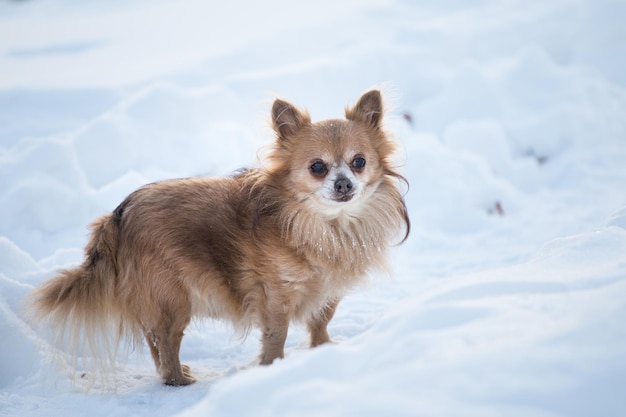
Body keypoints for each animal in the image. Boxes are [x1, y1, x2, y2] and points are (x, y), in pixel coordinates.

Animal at [28, 89, 410, 386]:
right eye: (318, 167)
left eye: (359, 162)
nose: (343, 183)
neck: (328, 227)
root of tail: (118, 215)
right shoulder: (276, 296)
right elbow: (277, 335)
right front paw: (273, 368)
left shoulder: (329, 290)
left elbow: (320, 321)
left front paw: (322, 351)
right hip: (173, 299)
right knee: (166, 341)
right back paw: (178, 380)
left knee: (154, 341)